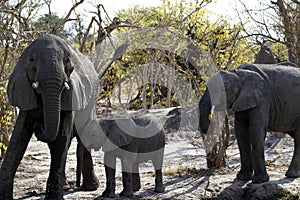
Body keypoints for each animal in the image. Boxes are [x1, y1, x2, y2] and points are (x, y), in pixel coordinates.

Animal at [0, 34, 104, 198]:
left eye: (67, 61)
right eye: (32, 60)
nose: (38, 125)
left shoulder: (71, 93)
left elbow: (61, 138)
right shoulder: (24, 90)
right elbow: (18, 137)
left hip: (92, 103)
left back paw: (90, 187)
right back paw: (69, 186)